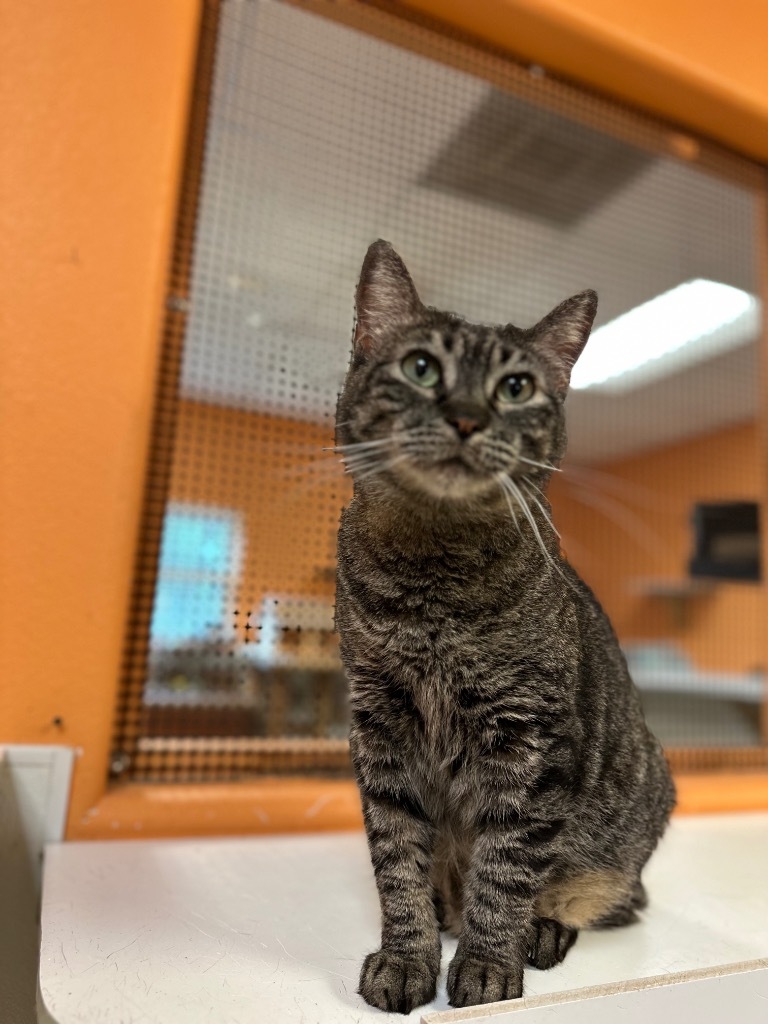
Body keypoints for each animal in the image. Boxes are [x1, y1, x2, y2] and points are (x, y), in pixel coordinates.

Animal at [335, 241, 671, 1015]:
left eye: (516, 387)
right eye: (421, 368)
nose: (465, 417)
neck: (432, 583)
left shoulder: (529, 739)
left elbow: (507, 865)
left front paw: (489, 965)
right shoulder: (379, 729)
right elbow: (397, 861)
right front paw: (407, 957)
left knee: (604, 894)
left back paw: (542, 928)